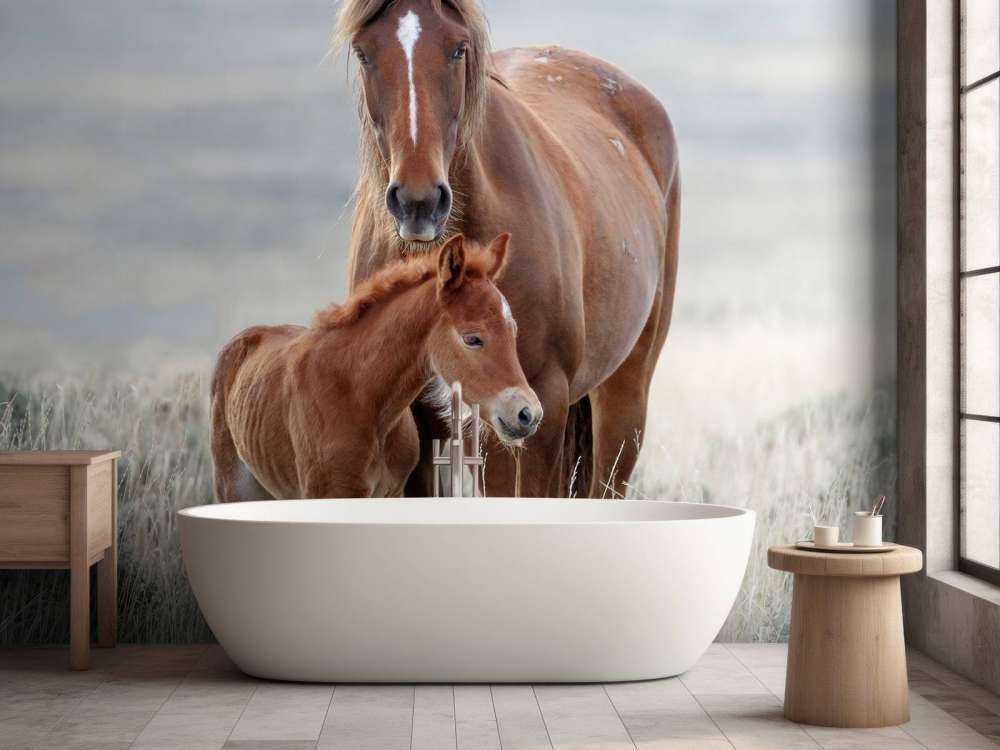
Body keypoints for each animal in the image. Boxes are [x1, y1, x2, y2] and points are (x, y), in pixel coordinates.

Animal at [210, 233, 542, 500]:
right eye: (472, 338)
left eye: (513, 331)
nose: (529, 414)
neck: (360, 396)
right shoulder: (330, 493)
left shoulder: (391, 493)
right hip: (234, 487)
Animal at [335, 0, 679, 498]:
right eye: (363, 53)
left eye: (458, 49)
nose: (419, 202)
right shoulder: (418, 418)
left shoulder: (537, 406)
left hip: (621, 397)